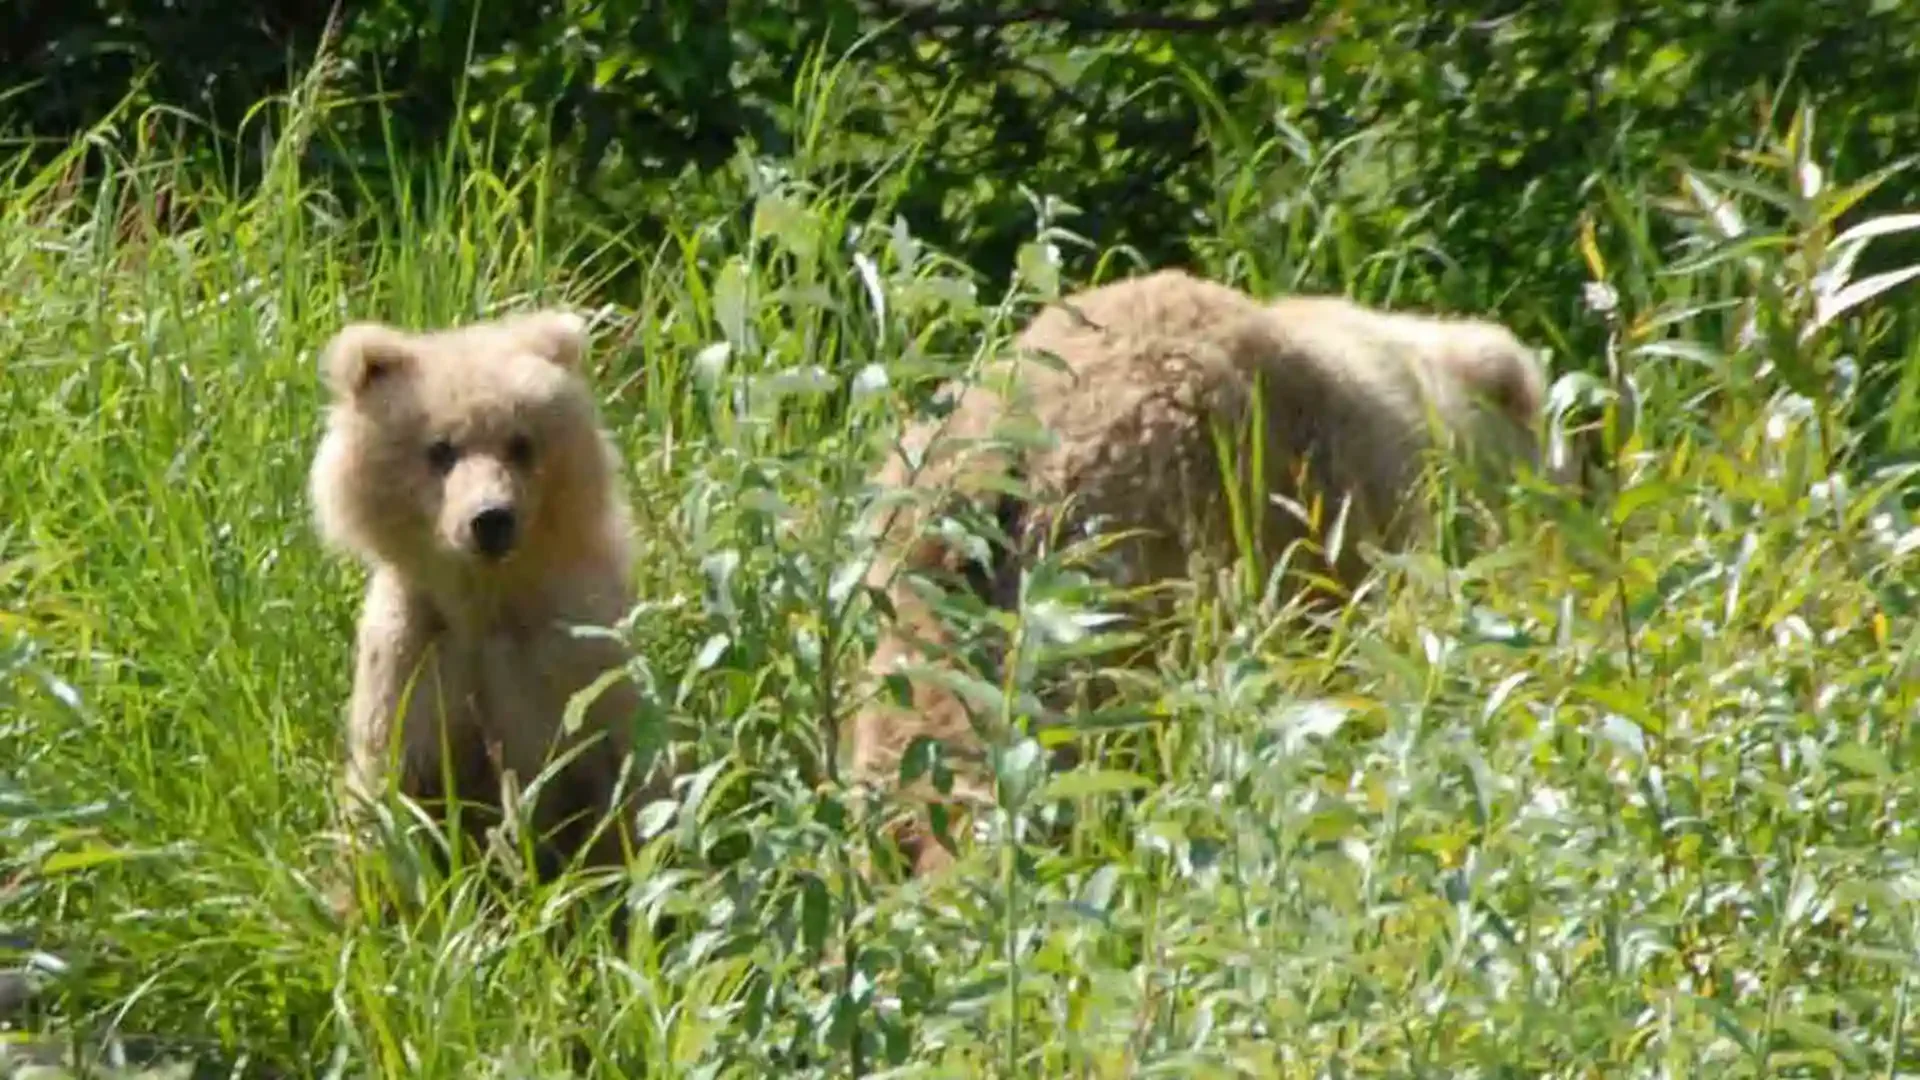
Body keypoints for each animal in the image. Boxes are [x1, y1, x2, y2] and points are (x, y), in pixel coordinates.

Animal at [307, 308, 667, 916]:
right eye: (440, 447)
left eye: (520, 442)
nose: (490, 518)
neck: (486, 601)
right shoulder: (417, 662)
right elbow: (390, 801)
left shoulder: (569, 659)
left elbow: (621, 787)